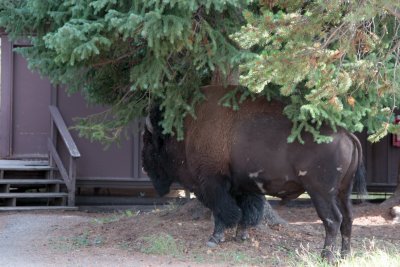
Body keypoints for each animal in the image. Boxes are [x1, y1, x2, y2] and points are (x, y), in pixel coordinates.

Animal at [141, 85, 366, 262]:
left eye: (149, 142)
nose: (143, 166)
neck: (187, 128)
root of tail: (347, 134)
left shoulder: (213, 183)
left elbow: (223, 211)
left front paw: (214, 239)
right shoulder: (243, 186)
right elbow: (246, 212)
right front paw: (241, 236)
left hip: (321, 192)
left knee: (333, 220)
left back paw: (326, 257)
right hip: (343, 191)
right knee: (348, 218)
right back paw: (345, 256)